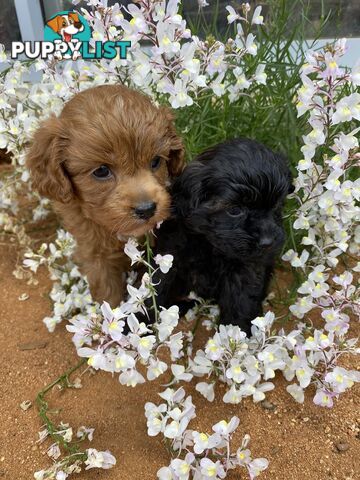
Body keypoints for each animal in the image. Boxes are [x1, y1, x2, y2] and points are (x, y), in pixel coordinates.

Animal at [152, 139, 292, 334]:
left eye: (277, 206)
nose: (267, 242)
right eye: (235, 210)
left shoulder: (246, 269)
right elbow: (159, 285)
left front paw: (234, 334)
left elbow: (241, 302)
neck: (210, 245)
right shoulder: (170, 256)